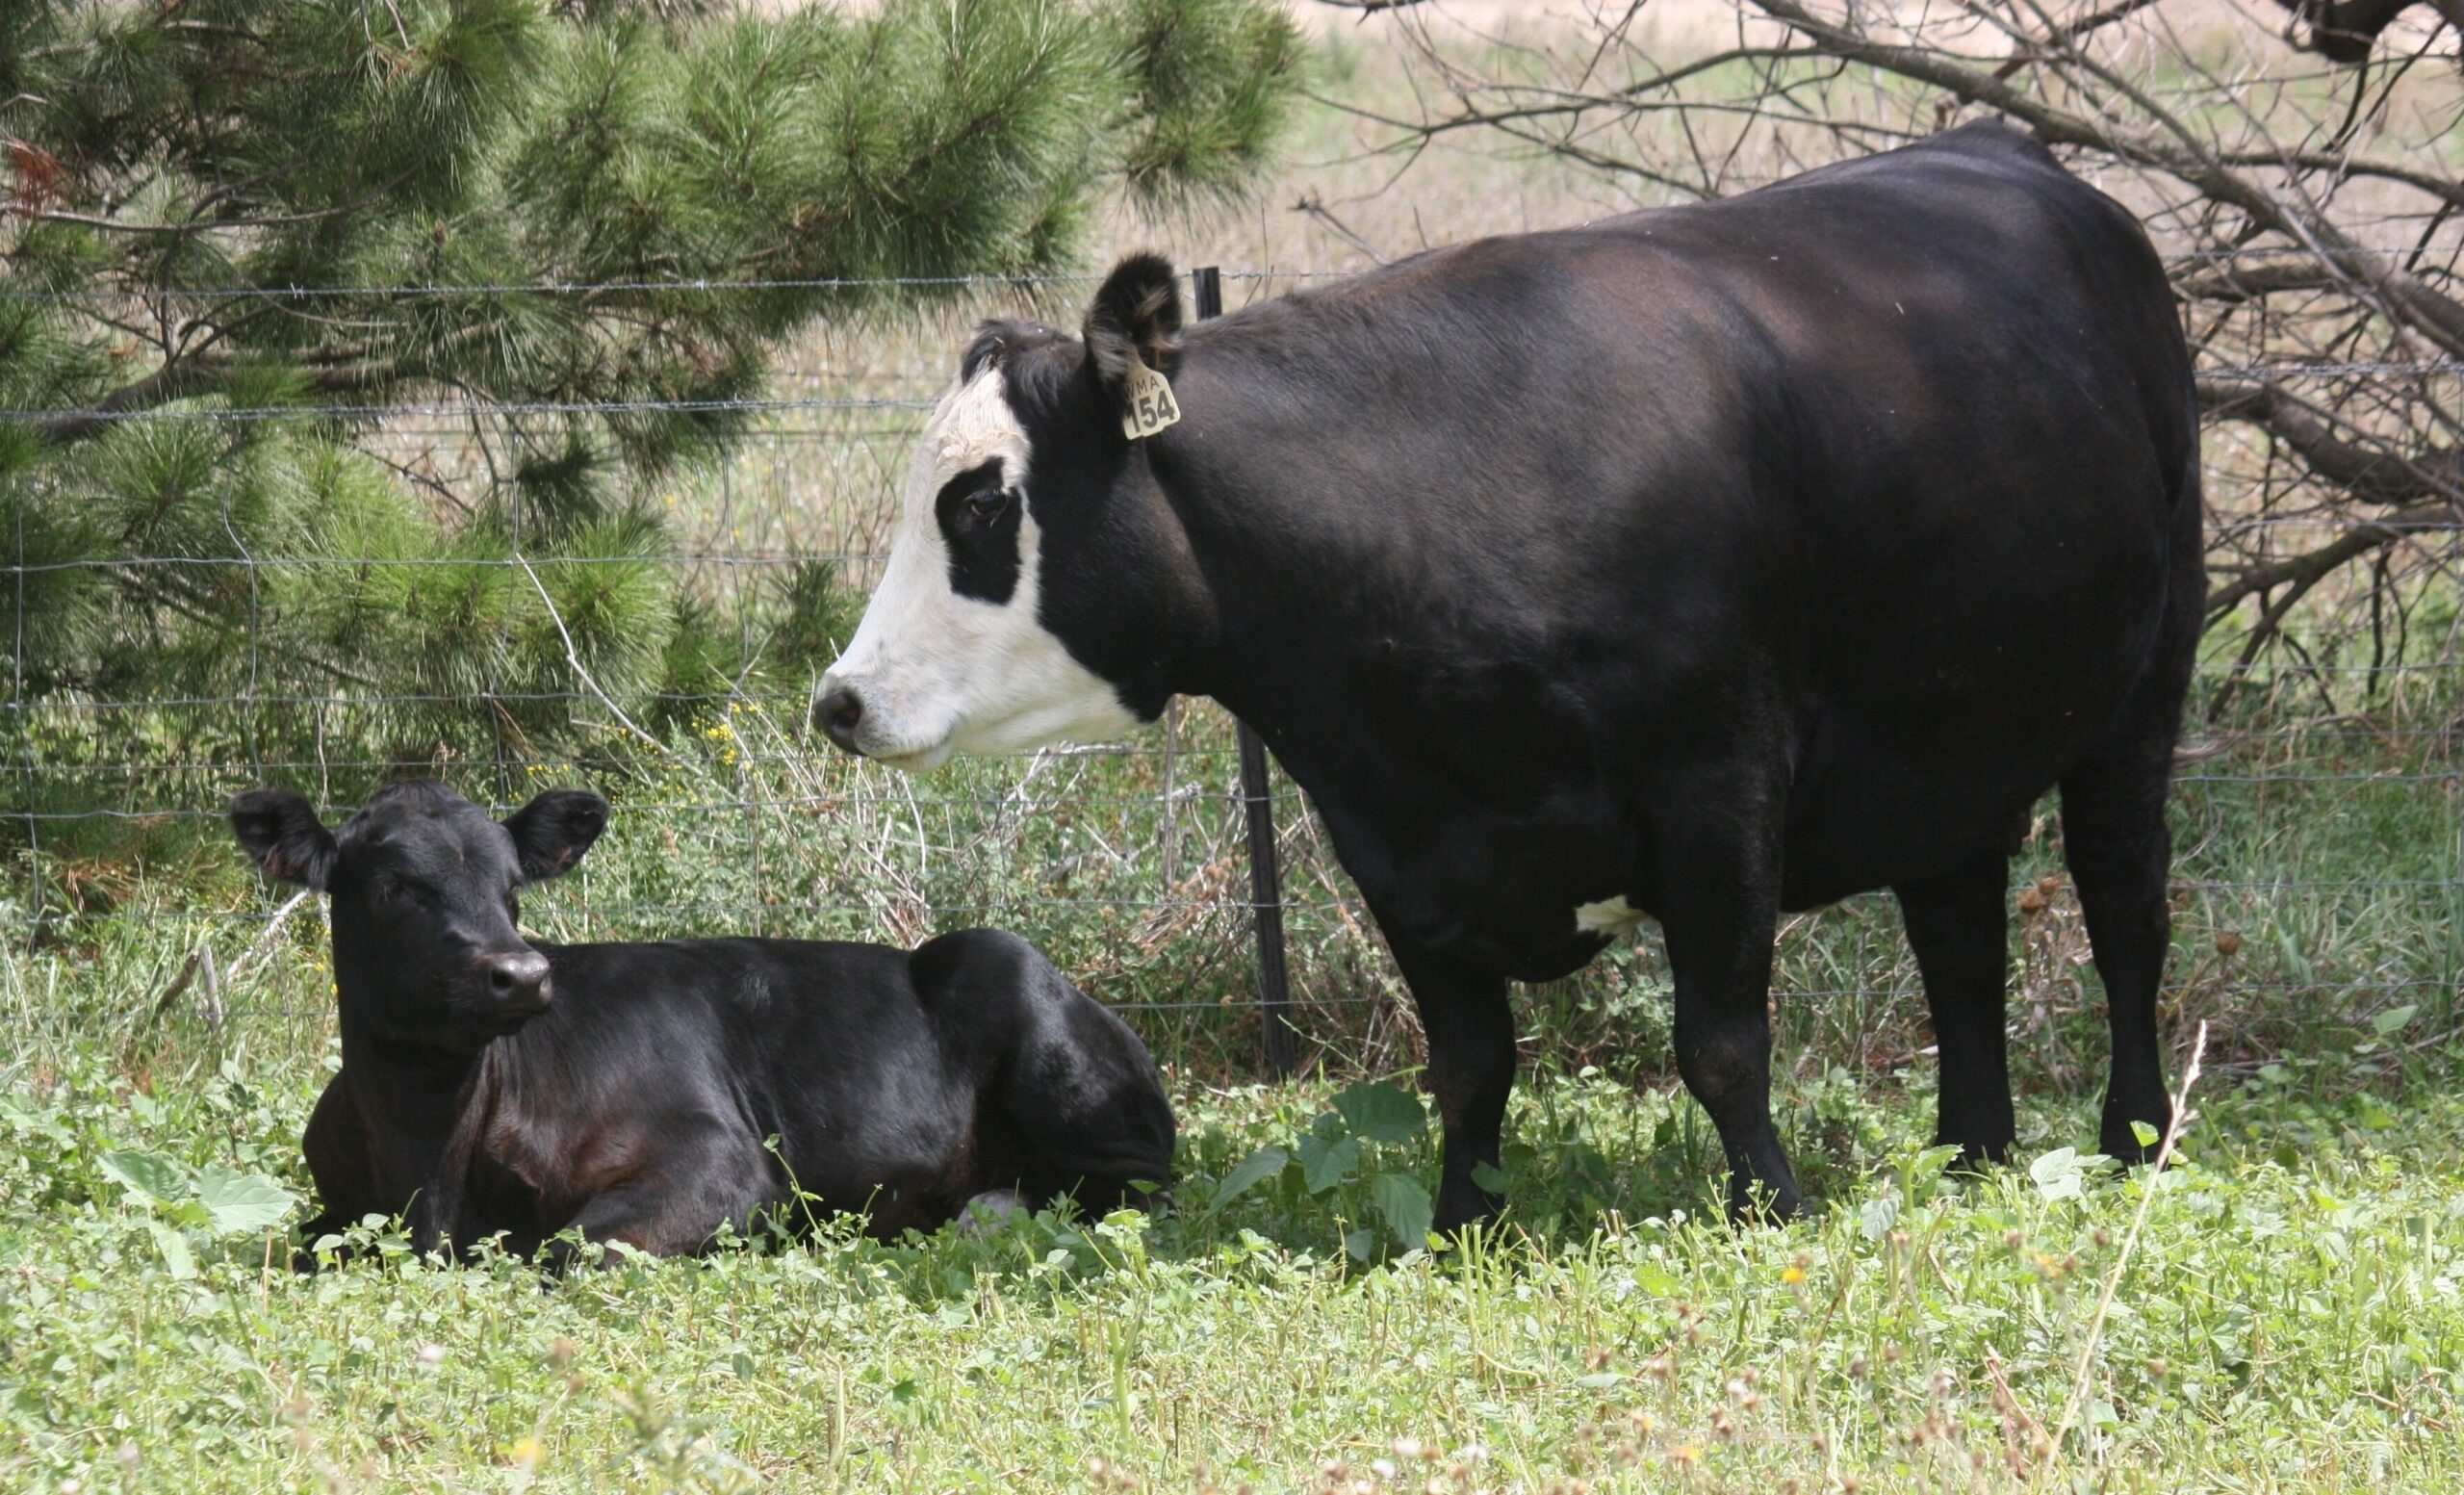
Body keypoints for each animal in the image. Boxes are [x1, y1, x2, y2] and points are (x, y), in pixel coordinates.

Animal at [229, 783, 1172, 1260]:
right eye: (395, 886)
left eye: (512, 885)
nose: (521, 973)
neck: (427, 1167)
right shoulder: (335, 1204)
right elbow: (288, 1243)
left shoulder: (722, 1158)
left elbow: (568, 1246)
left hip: (1025, 1000)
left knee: (1125, 1191)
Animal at [817, 125, 2207, 1226]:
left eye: (982, 502)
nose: (840, 698)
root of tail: (2011, 154)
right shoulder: (1390, 837)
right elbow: (1471, 1063)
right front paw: (1459, 1222)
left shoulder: (1718, 780)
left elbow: (1720, 1040)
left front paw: (1771, 1205)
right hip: (1948, 732)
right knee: (1958, 929)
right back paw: (1971, 1148)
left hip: (2145, 682)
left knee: (2124, 907)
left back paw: (2133, 1135)